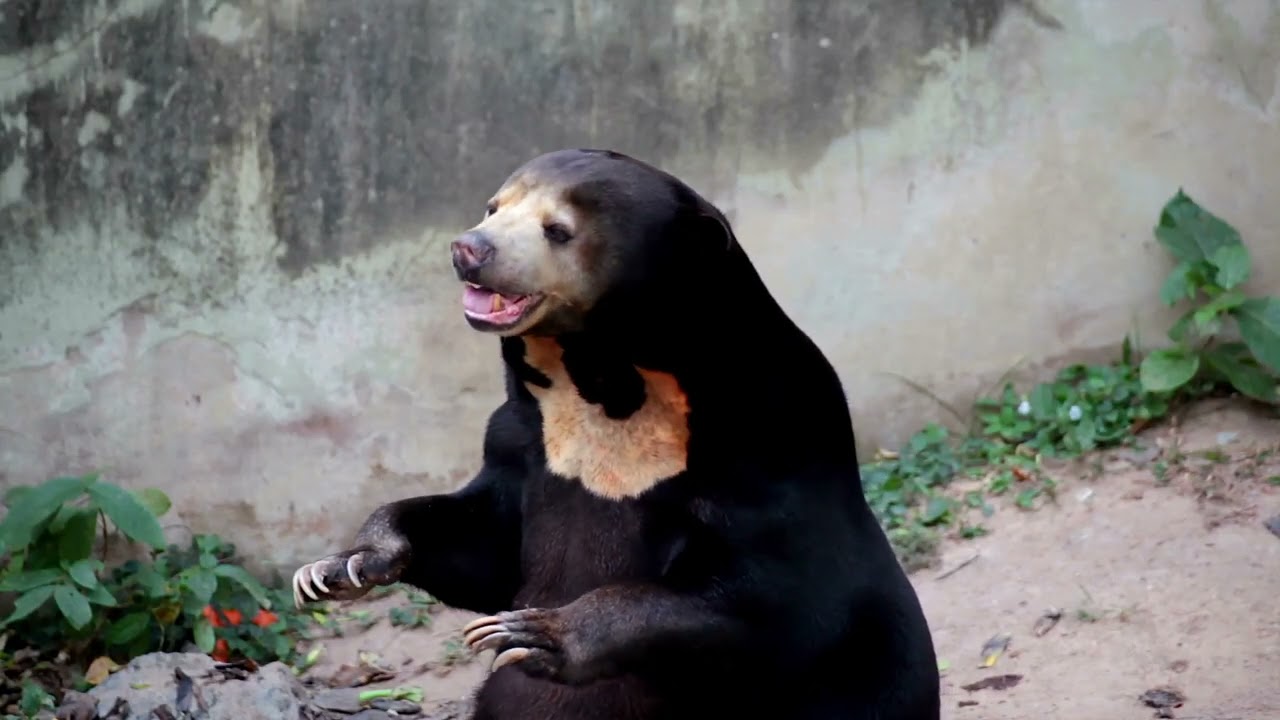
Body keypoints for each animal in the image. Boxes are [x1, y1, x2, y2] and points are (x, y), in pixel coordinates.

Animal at [291, 148, 941, 720]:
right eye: (494, 207)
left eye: (558, 229)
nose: (468, 249)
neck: (607, 387)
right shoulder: (522, 439)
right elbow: (486, 543)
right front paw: (339, 567)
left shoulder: (771, 451)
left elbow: (769, 599)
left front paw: (534, 632)